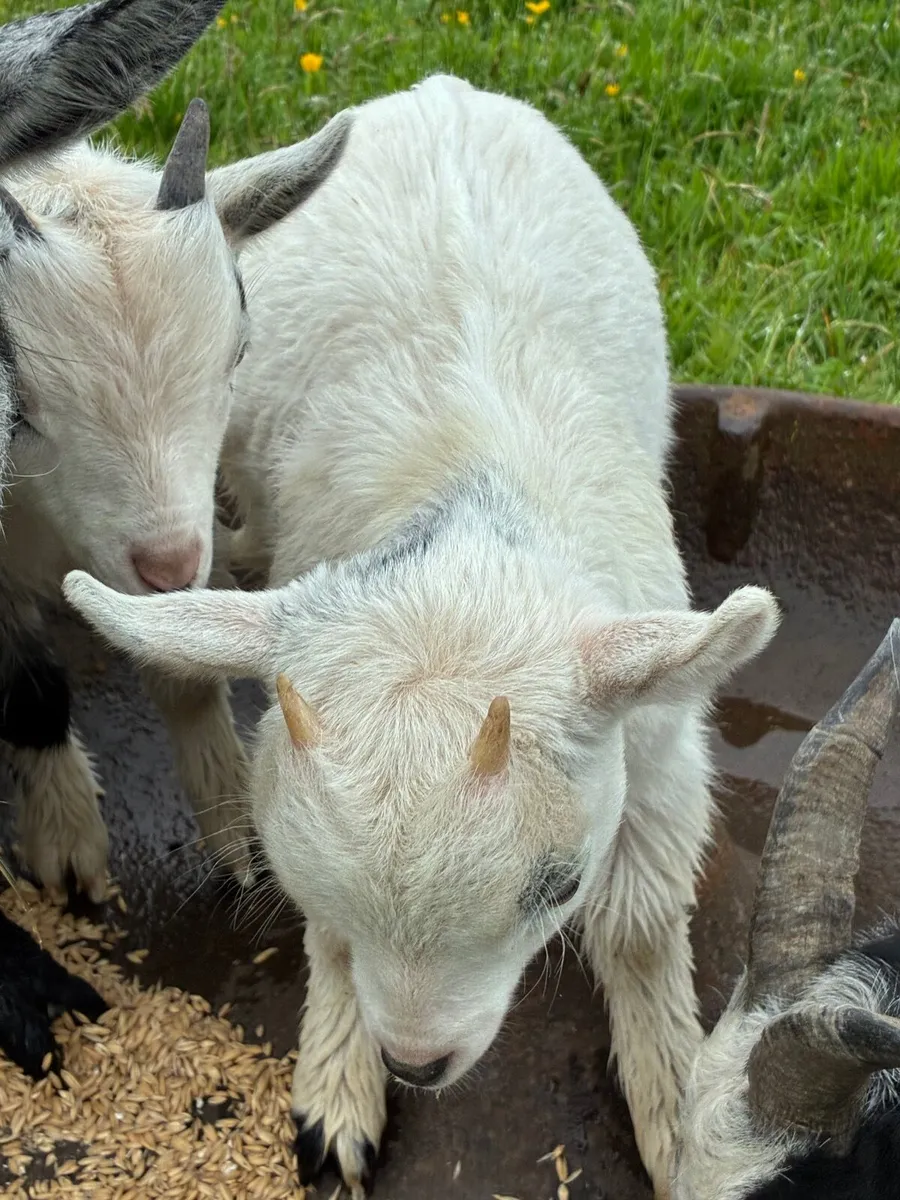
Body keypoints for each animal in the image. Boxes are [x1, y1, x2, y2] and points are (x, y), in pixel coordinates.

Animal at [0, 0, 352, 902]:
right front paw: (67, 840)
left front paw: (236, 824)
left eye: (240, 348)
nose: (167, 560)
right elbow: (28, 684)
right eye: (21, 408)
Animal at [62, 75, 781, 1199]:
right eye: (301, 872)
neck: (468, 531)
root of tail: (441, 88)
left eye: (558, 886)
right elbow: (326, 943)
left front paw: (678, 1117)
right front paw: (337, 1090)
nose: (418, 1060)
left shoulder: (659, 738)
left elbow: (640, 923)